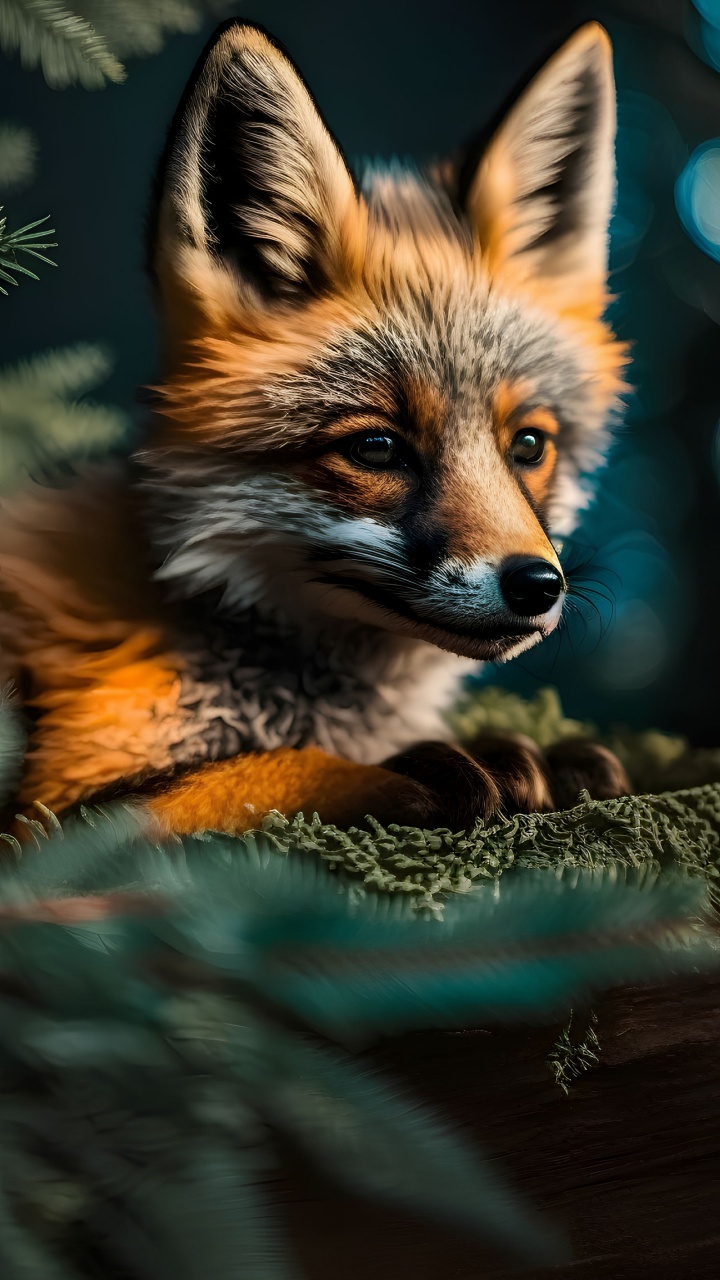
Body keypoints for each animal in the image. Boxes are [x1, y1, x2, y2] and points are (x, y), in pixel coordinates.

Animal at [0, 19, 632, 841]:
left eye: (528, 445)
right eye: (376, 447)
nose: (537, 586)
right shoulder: (54, 825)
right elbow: (278, 766)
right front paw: (434, 768)